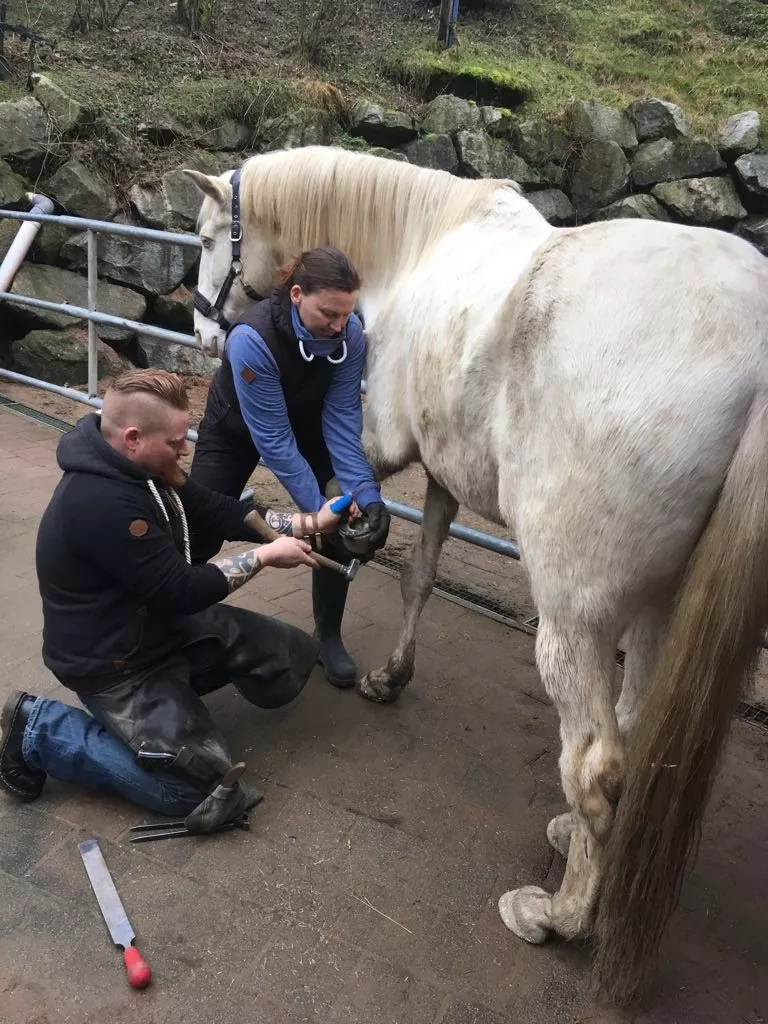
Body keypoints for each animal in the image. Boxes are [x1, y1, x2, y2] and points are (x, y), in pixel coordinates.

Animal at [185, 148, 768, 1003]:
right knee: (634, 726)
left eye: (203, 237)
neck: (417, 247)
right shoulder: (442, 473)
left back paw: (557, 916)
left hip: (575, 619)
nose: (201, 332)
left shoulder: (379, 444)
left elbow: (342, 503)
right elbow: (419, 574)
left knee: (596, 765)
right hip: (663, 606)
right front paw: (390, 676)